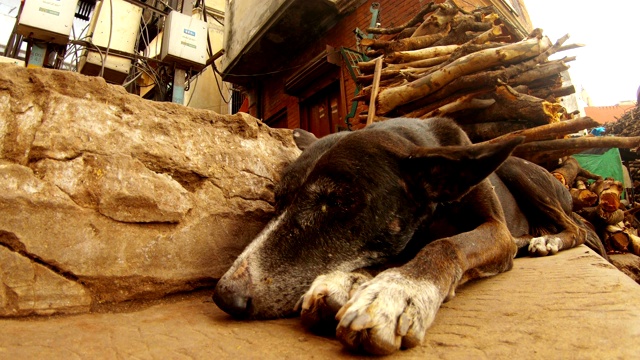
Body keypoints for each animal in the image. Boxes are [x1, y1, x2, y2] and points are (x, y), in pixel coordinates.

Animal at [212, 118, 592, 354]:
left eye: (337, 201)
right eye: (278, 201)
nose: (225, 295)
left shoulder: (495, 230)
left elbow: (446, 244)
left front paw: (398, 292)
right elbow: (404, 246)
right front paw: (347, 282)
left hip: (518, 172)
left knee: (576, 229)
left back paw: (548, 241)